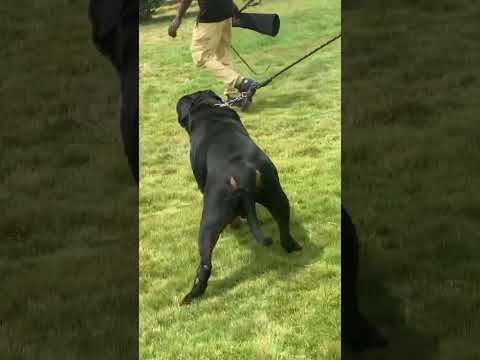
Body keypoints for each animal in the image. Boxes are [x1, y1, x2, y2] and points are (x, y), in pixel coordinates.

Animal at [178, 89, 302, 304]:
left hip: (210, 217)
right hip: (276, 193)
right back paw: (293, 247)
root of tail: (243, 173)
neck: (208, 110)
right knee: (284, 230)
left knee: (205, 263)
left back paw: (192, 295)